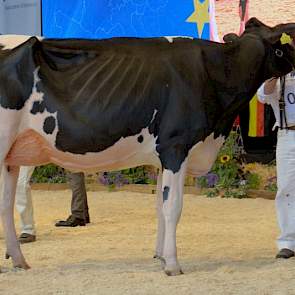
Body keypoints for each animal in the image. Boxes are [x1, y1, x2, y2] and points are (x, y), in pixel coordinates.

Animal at [0, 17, 295, 276]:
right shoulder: (175, 147)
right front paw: (172, 265)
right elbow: (173, 207)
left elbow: (159, 208)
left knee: (5, 205)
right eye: (287, 38)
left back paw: (18, 260)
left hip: (11, 159)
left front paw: (161, 256)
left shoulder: (162, 157)